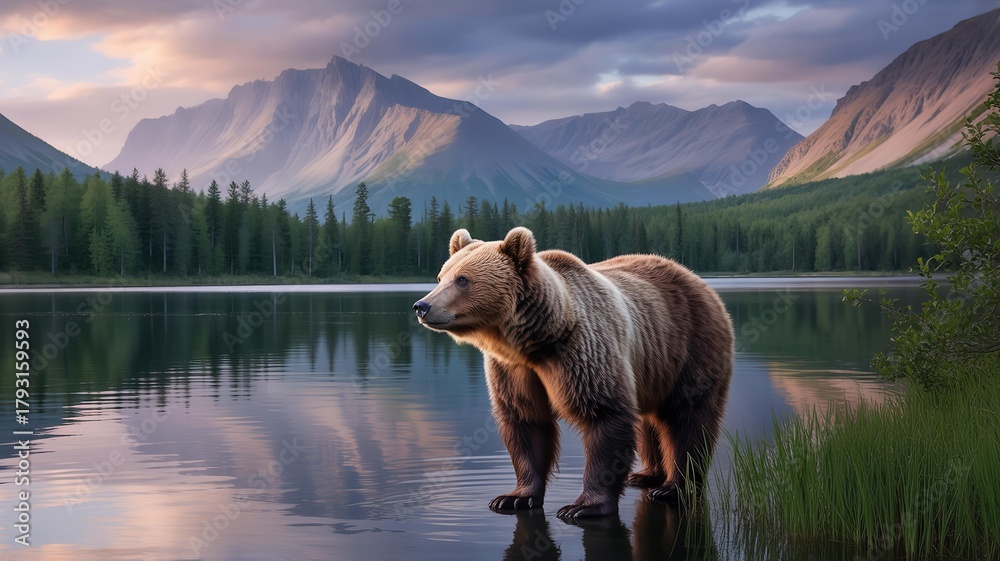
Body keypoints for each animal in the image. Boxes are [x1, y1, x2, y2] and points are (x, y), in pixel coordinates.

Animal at [413, 227, 733, 518]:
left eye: (462, 280)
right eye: (441, 276)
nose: (421, 305)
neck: (535, 342)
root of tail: (699, 281)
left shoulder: (582, 351)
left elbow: (605, 416)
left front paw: (583, 506)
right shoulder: (513, 370)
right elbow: (526, 421)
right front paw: (514, 497)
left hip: (692, 347)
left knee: (688, 418)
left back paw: (673, 487)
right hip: (652, 367)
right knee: (649, 419)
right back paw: (646, 475)